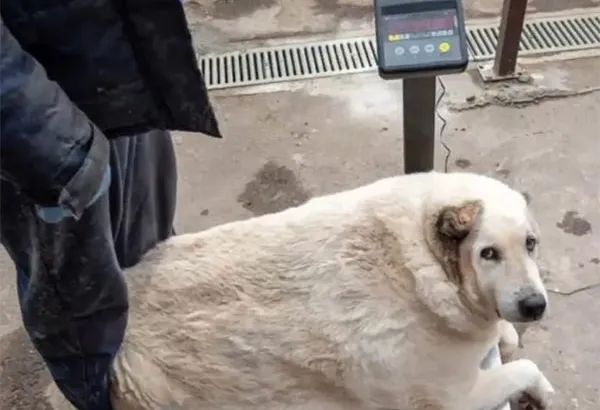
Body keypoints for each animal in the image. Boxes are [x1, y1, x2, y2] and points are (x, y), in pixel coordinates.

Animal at [45, 171, 552, 408]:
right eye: (488, 253)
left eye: (531, 243)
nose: (534, 305)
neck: (423, 266)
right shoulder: (446, 399)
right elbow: (524, 365)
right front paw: (542, 390)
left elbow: (505, 337)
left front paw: (508, 335)